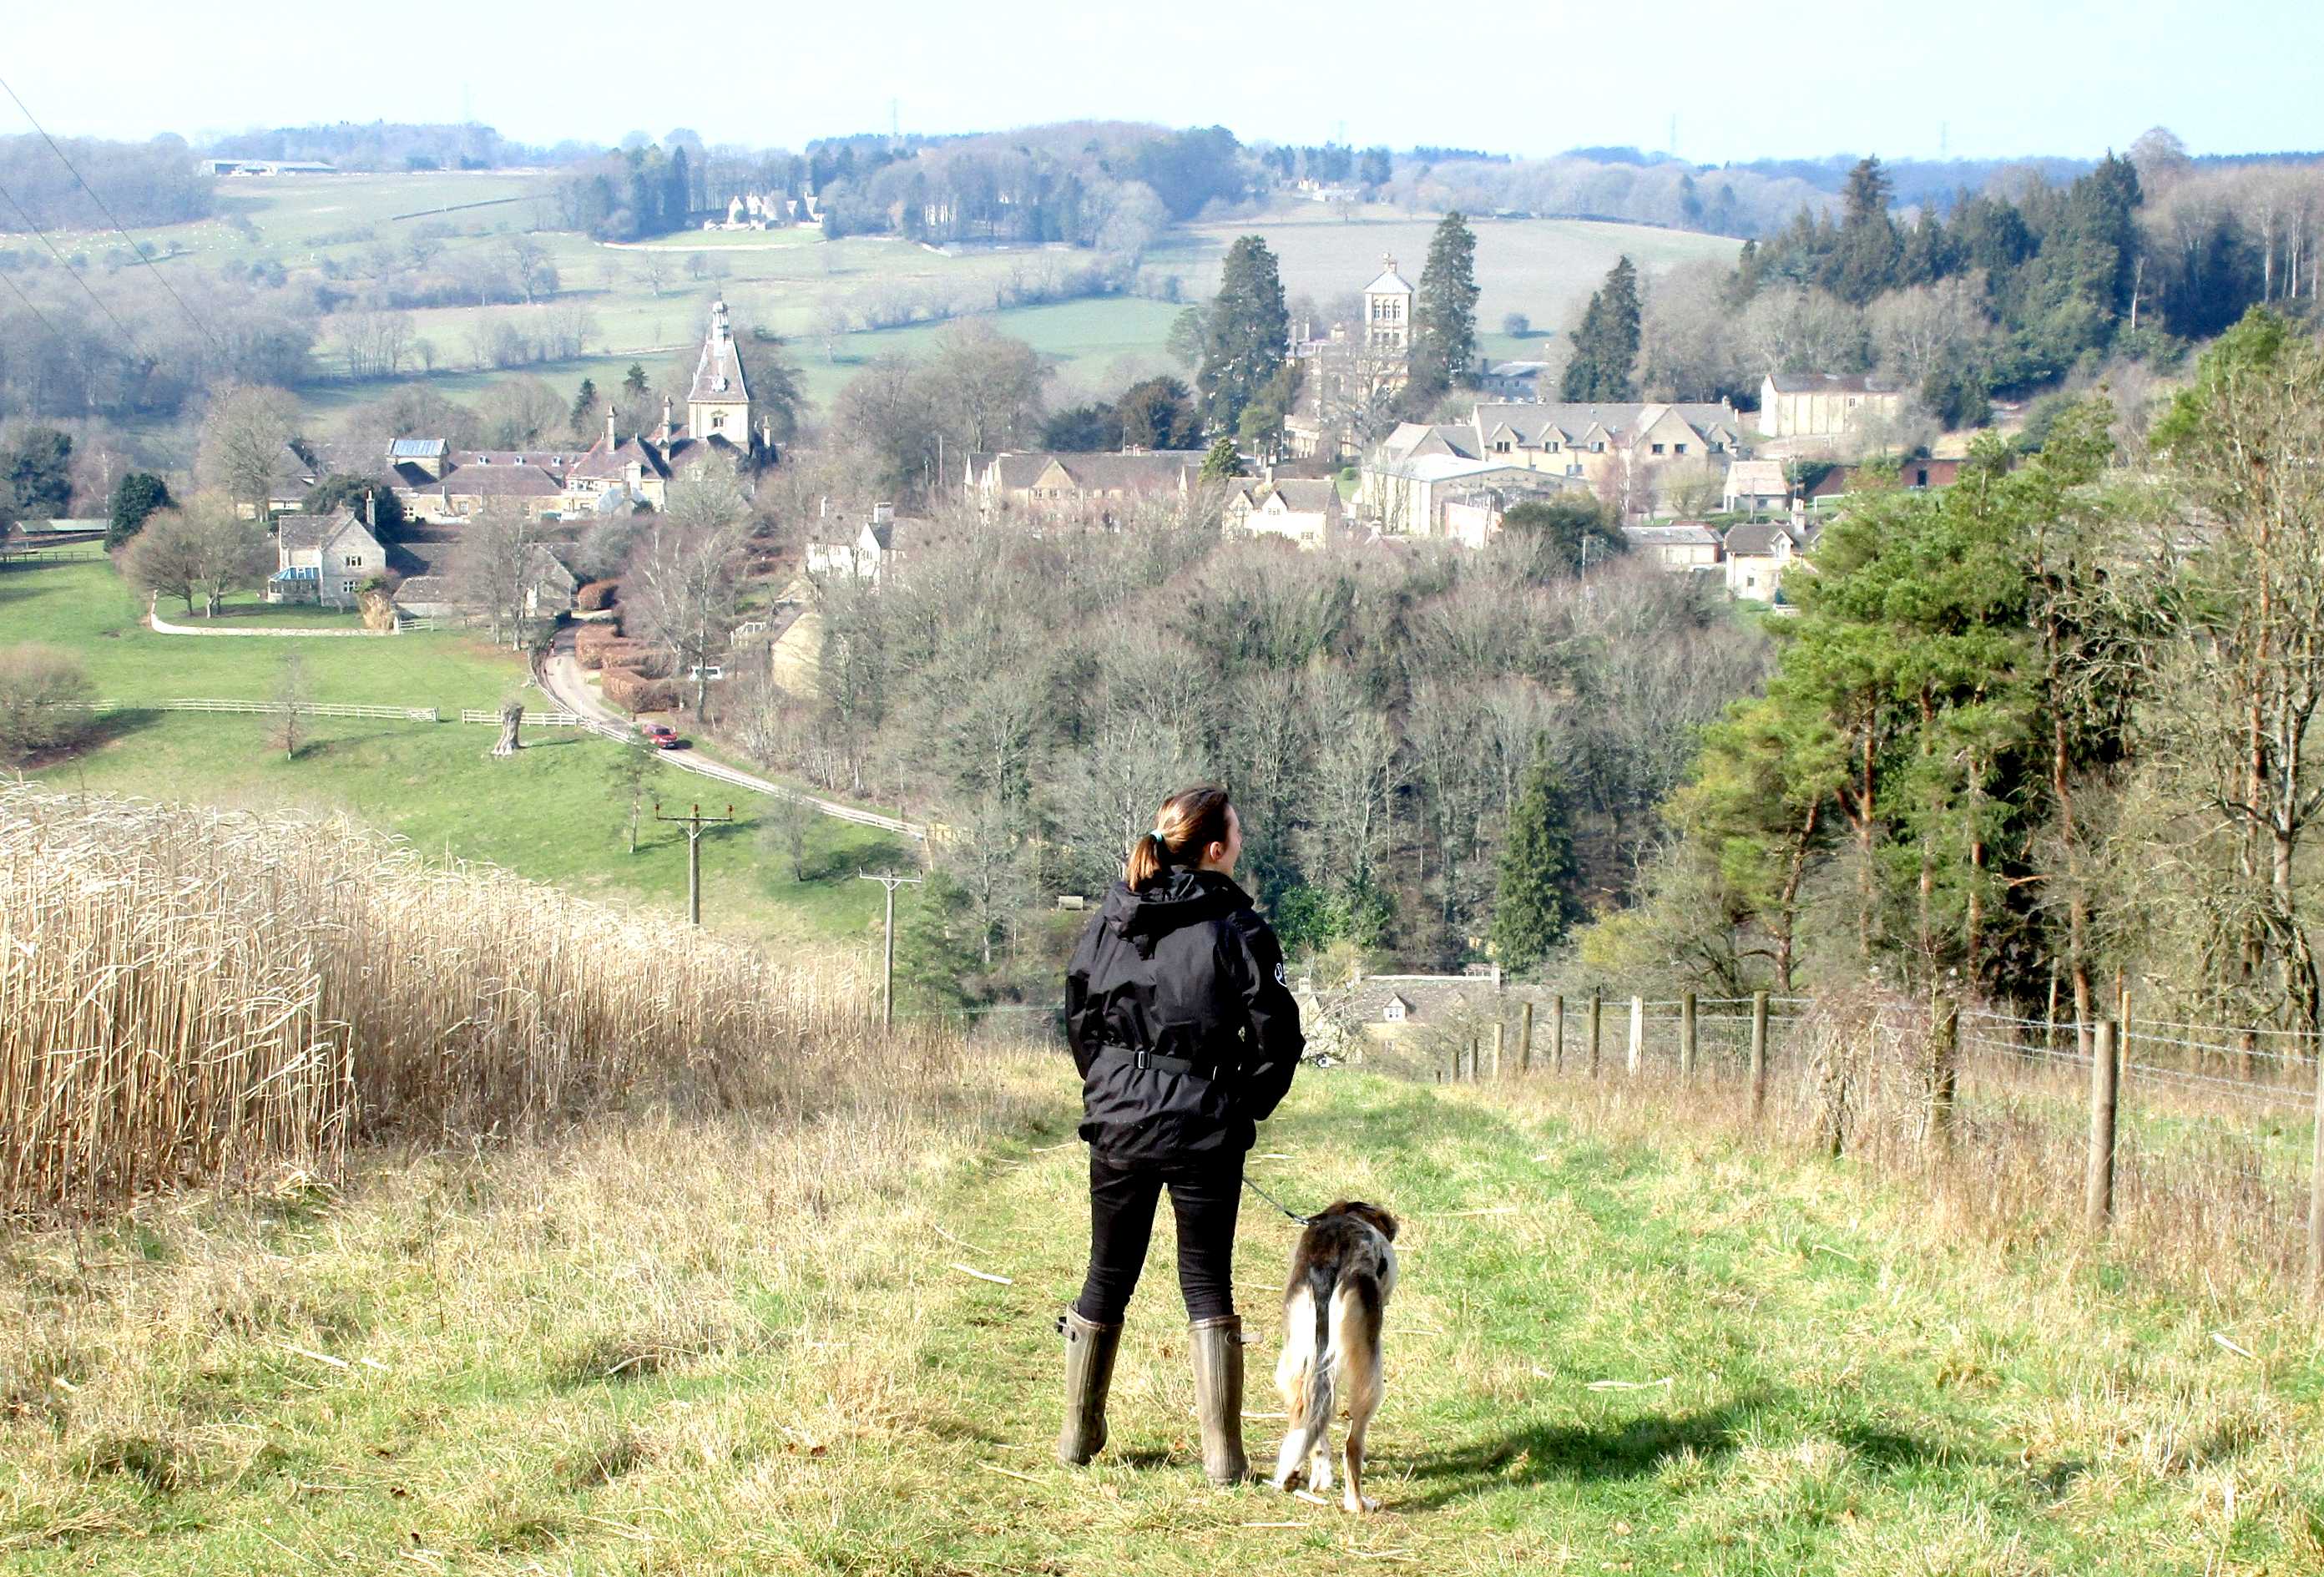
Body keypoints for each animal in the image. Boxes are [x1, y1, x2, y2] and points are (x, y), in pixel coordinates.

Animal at [1273, 1198, 1394, 1514]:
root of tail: (1325, 1265)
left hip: (1295, 1362)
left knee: (1307, 1417)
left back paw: (1297, 1476)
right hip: (1369, 1379)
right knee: (1352, 1446)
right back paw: (1358, 1503)